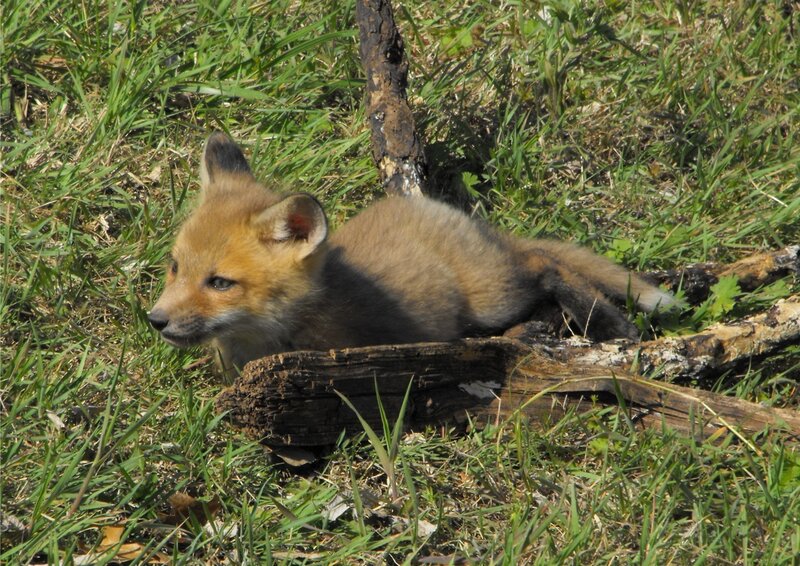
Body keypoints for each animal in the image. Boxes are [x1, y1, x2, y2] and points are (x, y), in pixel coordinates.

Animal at [149, 132, 675, 379]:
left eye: (220, 283)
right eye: (176, 268)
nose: (155, 320)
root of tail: (437, 207)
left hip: (494, 298)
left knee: (548, 265)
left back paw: (609, 324)